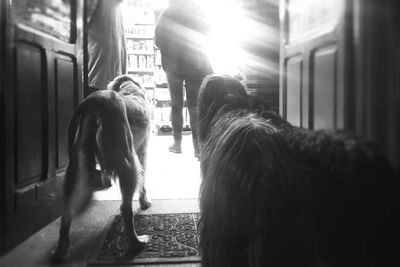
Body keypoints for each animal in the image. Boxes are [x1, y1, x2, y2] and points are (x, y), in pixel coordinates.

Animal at [52, 74, 152, 262]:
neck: (130, 90)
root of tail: (95, 103)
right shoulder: (142, 151)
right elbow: (143, 180)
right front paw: (144, 202)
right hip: (128, 162)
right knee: (126, 209)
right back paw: (136, 244)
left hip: (74, 167)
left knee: (66, 211)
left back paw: (60, 251)